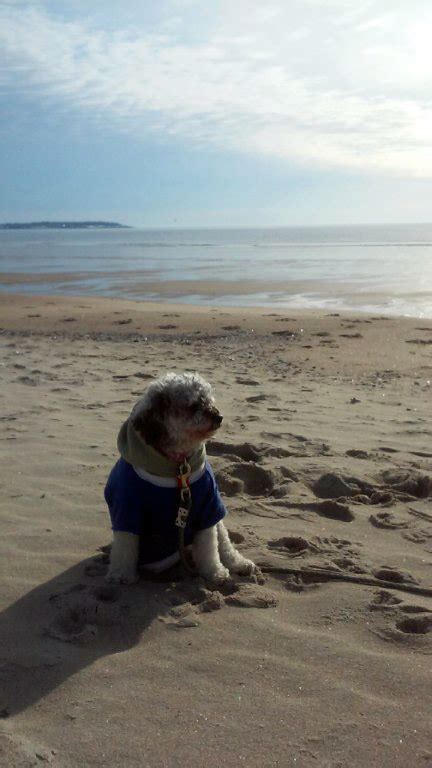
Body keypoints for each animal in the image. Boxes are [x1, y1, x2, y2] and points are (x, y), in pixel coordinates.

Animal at [104, 372, 258, 584]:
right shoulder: (127, 507)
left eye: (208, 400)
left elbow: (209, 547)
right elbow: (124, 546)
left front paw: (214, 572)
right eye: (193, 406)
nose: (219, 417)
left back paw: (239, 564)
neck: (178, 466)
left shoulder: (207, 506)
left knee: (225, 543)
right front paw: (120, 574)